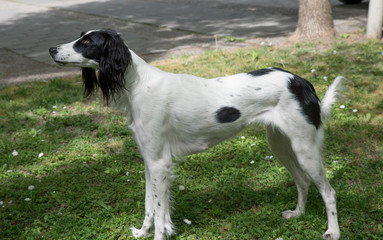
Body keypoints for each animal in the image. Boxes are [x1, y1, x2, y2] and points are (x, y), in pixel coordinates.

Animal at [49, 29, 344, 239]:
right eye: (80, 36)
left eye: (87, 41)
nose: (51, 49)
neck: (139, 84)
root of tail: (301, 81)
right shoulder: (149, 161)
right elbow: (149, 206)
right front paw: (142, 233)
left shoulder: (159, 163)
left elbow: (159, 212)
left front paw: (157, 234)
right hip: (281, 145)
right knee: (303, 181)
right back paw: (298, 214)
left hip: (305, 149)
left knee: (328, 191)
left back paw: (333, 231)